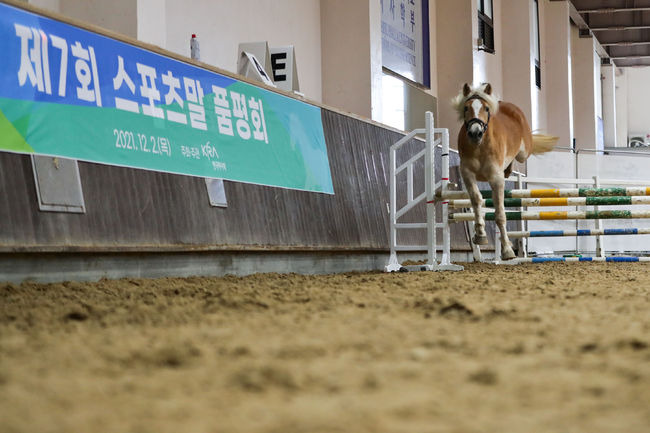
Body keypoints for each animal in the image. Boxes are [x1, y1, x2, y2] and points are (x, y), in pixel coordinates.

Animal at [450, 83, 556, 260]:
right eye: (466, 107)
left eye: (486, 108)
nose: (475, 133)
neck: (479, 146)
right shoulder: (467, 174)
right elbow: (476, 200)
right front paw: (480, 235)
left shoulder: (496, 179)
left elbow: (500, 214)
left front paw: (507, 250)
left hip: (524, 152)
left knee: (519, 156)